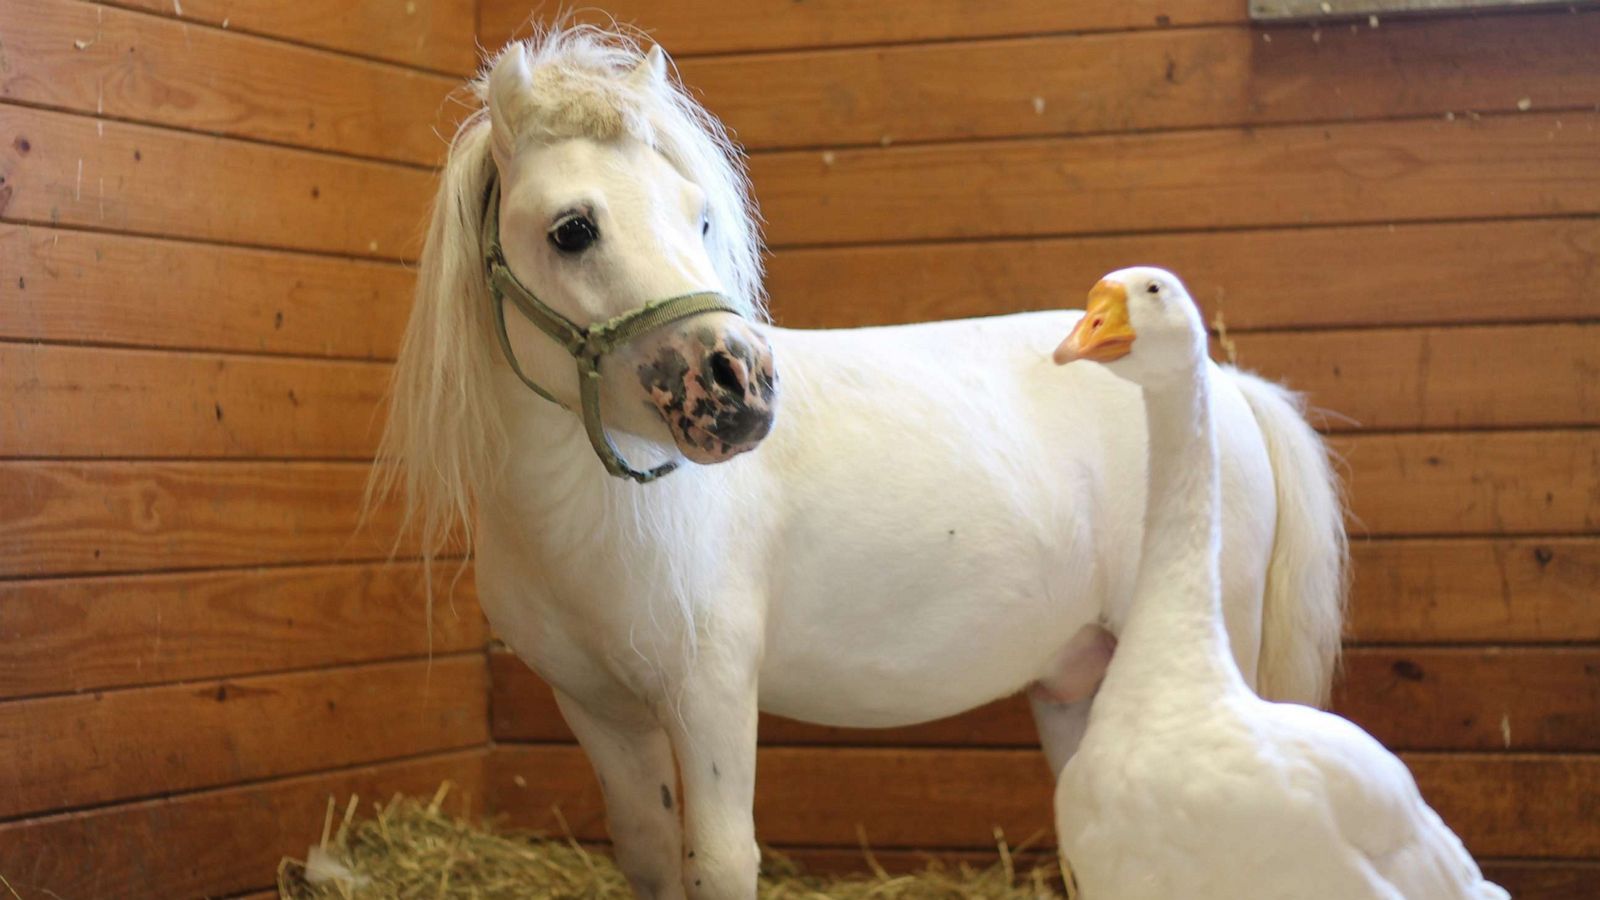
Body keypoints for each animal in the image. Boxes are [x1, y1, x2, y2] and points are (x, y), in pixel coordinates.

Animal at [377, 28, 1350, 896]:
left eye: (699, 215)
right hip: (1079, 685)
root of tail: (1229, 386)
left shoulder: (711, 694)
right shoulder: (599, 710)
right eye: (573, 229)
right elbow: (650, 857)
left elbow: (721, 863)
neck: (587, 517)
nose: (740, 384)